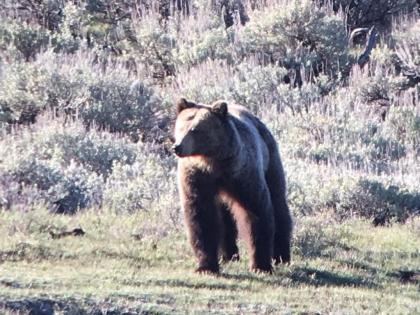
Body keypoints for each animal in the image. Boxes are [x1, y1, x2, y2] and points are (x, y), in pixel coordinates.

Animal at [174, 99, 292, 274]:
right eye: (180, 128)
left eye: (195, 130)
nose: (177, 147)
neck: (213, 163)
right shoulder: (197, 178)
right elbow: (201, 217)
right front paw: (206, 267)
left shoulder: (243, 174)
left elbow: (256, 213)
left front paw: (260, 265)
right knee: (225, 218)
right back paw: (229, 256)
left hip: (271, 159)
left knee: (278, 204)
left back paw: (281, 257)